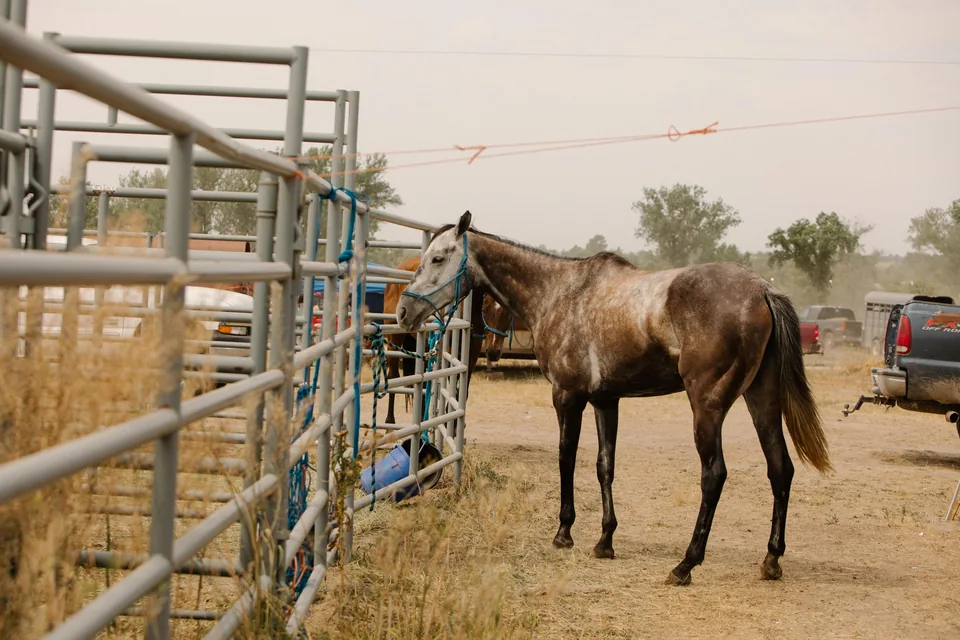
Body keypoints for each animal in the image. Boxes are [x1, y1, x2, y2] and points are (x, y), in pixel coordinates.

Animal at [380, 254, 511, 424]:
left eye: (508, 313)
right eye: (485, 308)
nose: (494, 352)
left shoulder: (472, 351)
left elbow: (462, 391)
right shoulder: (448, 352)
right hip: (394, 337)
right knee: (394, 375)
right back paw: (390, 419)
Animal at [396, 211, 832, 586]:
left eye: (437, 258)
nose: (403, 311)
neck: (558, 292)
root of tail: (762, 289)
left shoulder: (566, 397)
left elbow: (567, 458)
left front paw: (564, 532)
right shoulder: (606, 400)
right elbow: (605, 466)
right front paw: (604, 540)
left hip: (707, 407)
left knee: (715, 475)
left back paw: (686, 564)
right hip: (762, 400)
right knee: (780, 469)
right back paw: (771, 558)